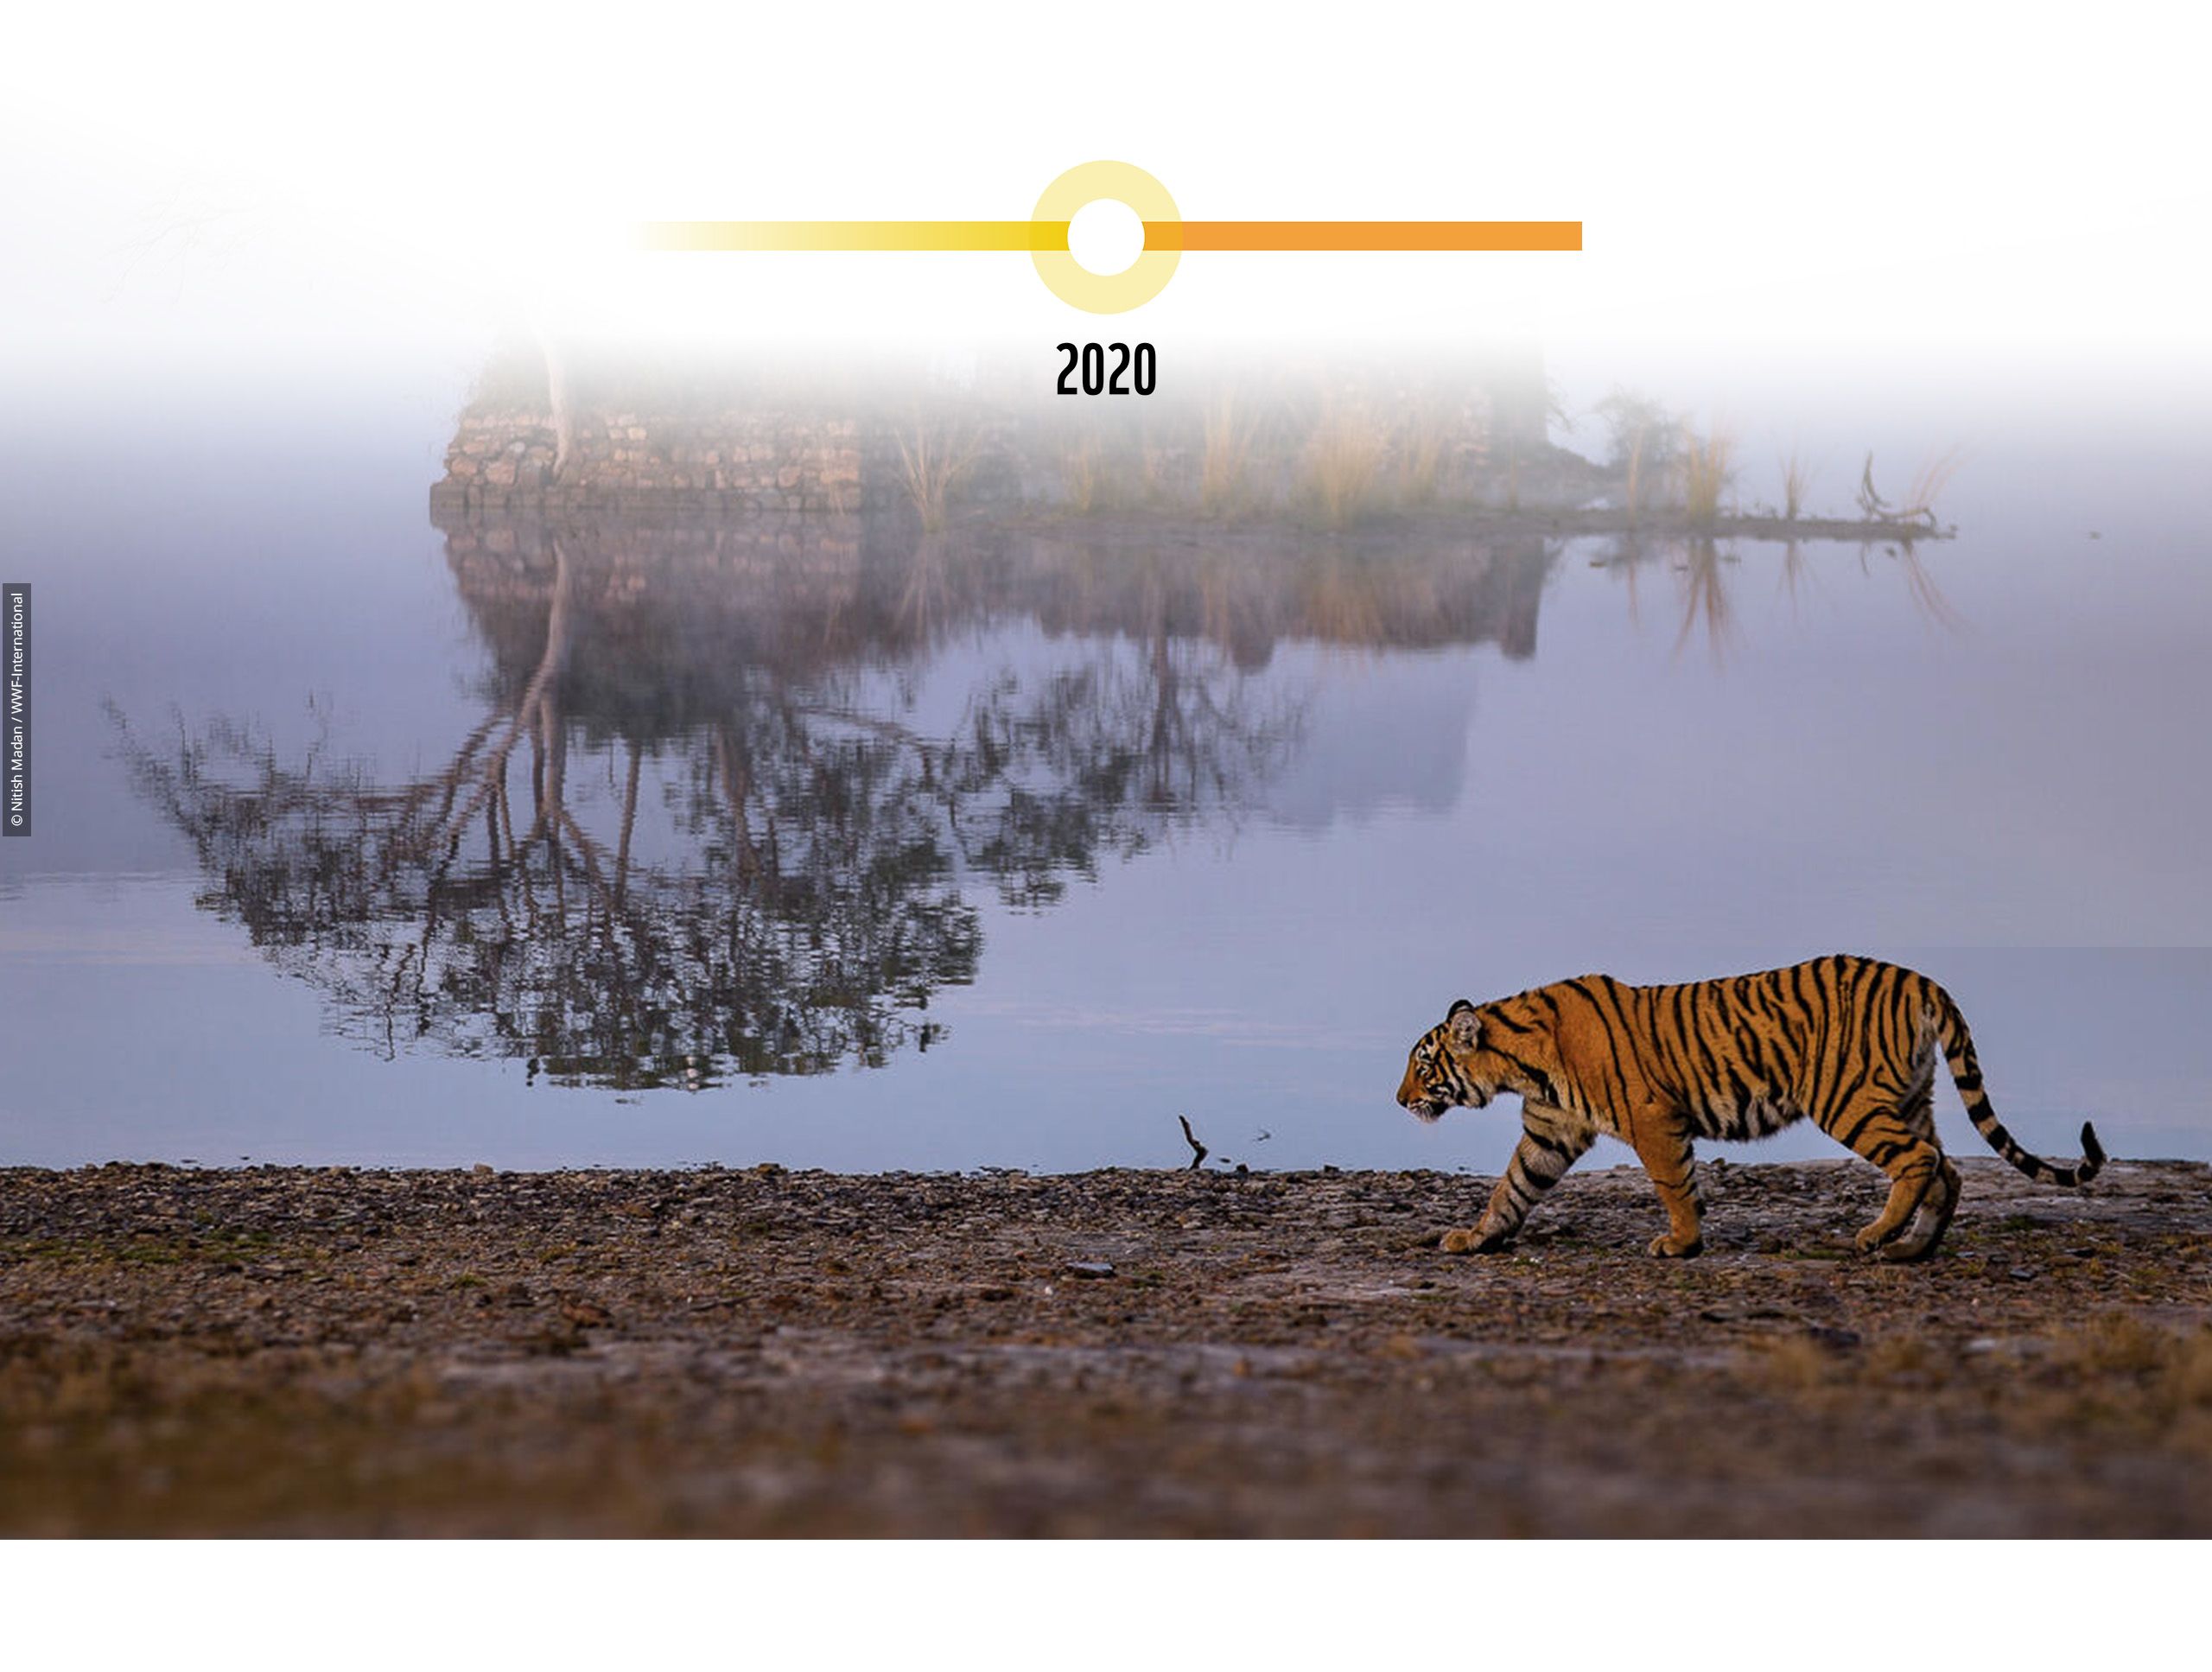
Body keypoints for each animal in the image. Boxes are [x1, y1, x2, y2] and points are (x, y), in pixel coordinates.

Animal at [1394, 954, 2104, 1262]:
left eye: (1423, 1066)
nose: (1399, 1099)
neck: (1521, 1063)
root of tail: (1922, 979)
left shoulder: (1653, 1119)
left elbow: (1674, 1184)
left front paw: (1681, 1243)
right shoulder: (1549, 1131)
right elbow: (1511, 1188)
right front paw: (1476, 1238)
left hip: (1847, 1099)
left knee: (1919, 1160)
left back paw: (1875, 1236)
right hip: (1908, 1095)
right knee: (1947, 1169)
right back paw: (1913, 1247)